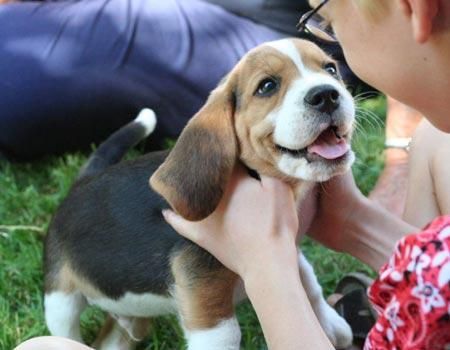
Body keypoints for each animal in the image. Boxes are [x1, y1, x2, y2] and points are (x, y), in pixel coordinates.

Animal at [44, 38, 356, 350]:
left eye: (331, 69)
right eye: (267, 86)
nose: (327, 95)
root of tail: (81, 182)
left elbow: (307, 280)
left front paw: (330, 323)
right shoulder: (202, 283)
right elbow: (225, 333)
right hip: (59, 299)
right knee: (65, 328)